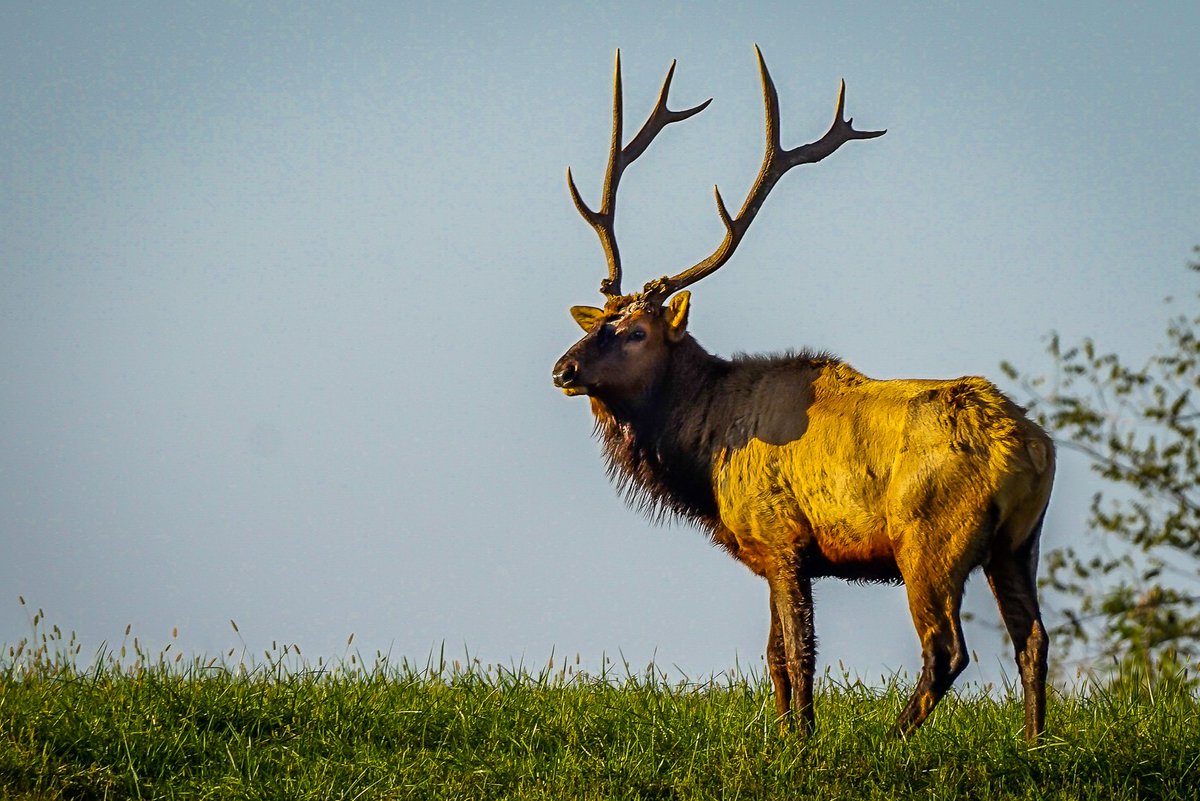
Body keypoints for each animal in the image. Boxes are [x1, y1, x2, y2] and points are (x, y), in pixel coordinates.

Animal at [551, 47, 1055, 741]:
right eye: (598, 320)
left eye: (634, 332)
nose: (563, 368)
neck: (704, 453)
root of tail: (1030, 447)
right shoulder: (769, 554)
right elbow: (772, 656)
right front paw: (785, 733)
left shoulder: (784, 538)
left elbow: (798, 651)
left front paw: (804, 742)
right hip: (1018, 542)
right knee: (1032, 640)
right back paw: (1035, 745)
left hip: (929, 539)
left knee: (946, 648)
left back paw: (890, 741)